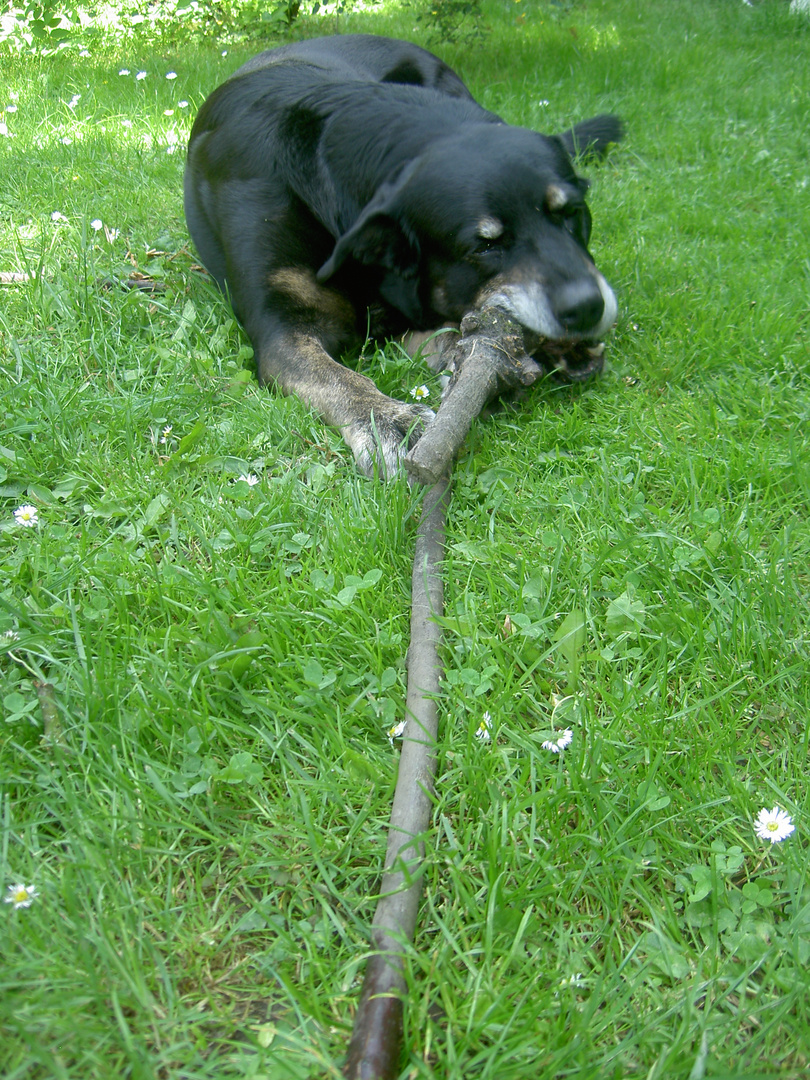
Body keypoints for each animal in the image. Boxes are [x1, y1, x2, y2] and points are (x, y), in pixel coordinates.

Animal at [186, 34, 626, 473]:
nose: (587, 307)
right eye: (484, 245)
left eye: (572, 213)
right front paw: (387, 419)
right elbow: (335, 377)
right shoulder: (281, 327)